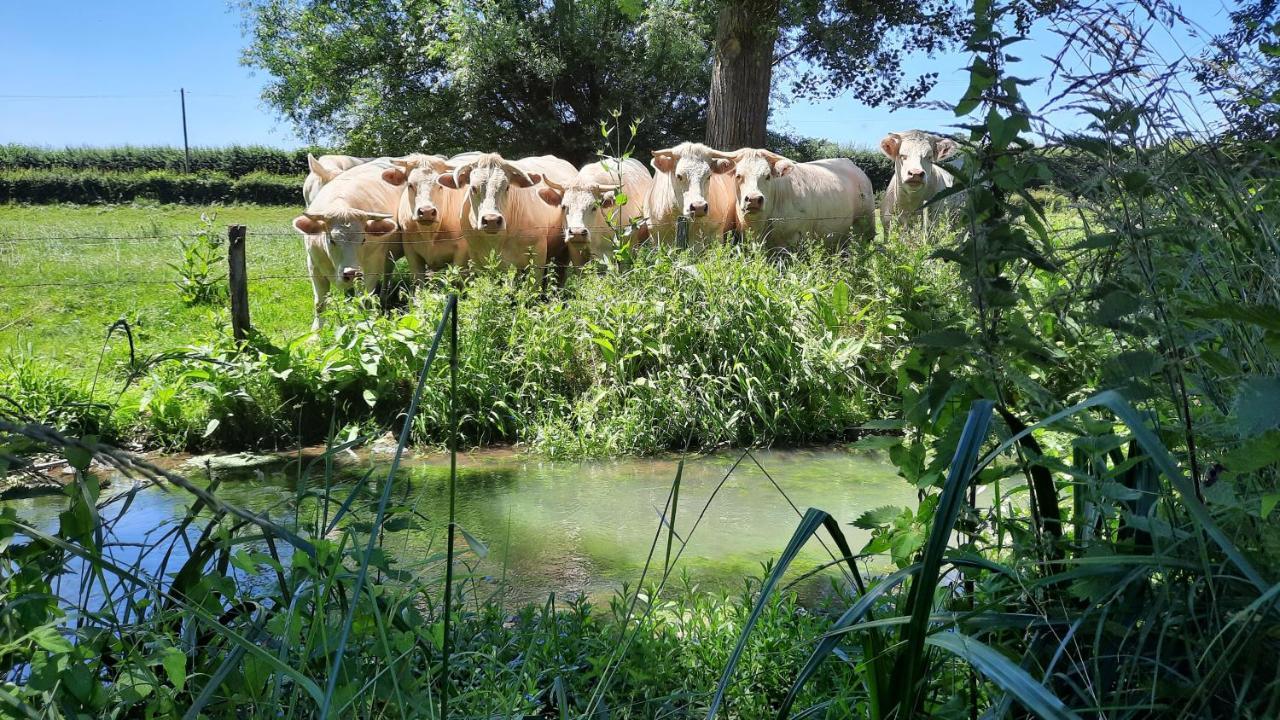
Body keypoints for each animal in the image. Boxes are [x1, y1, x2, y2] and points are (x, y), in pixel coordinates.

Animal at [294, 158, 404, 327]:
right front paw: (316, 331)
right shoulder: (313, 265)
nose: (351, 273)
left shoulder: (372, 266)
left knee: (387, 271)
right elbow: (320, 304)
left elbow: (363, 301)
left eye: (364, 239)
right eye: (331, 240)